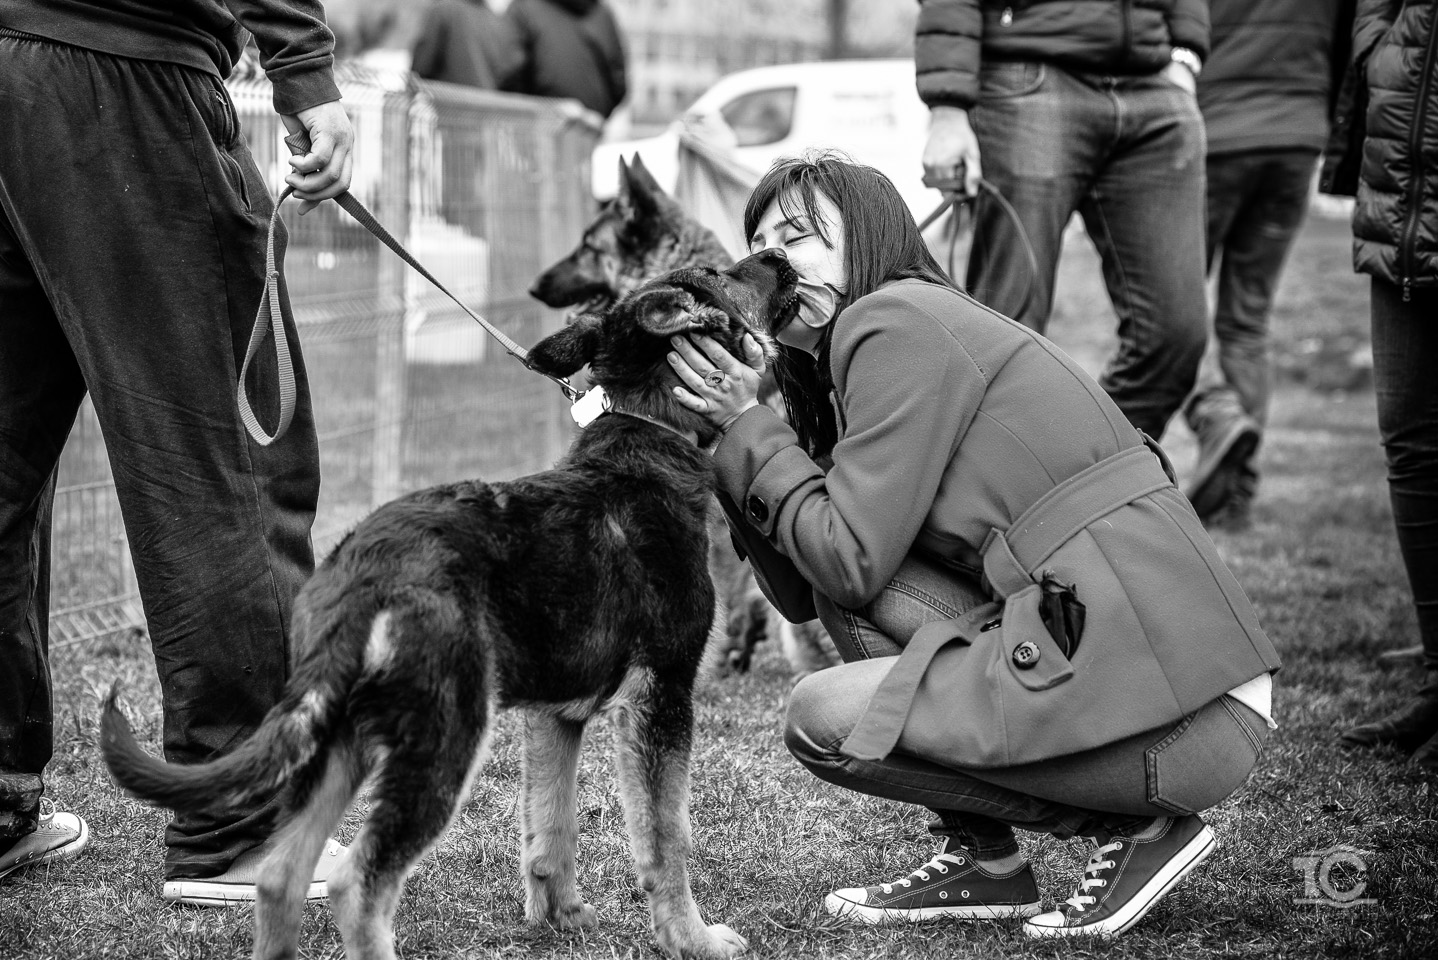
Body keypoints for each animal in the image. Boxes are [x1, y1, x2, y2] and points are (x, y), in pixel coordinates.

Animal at [99, 251, 799, 954]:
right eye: (717, 276)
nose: (780, 257)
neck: (649, 432)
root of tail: (363, 573)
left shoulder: (555, 714)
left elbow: (552, 823)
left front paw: (561, 918)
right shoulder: (660, 696)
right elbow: (667, 834)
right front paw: (693, 939)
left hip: (345, 736)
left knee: (281, 874)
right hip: (446, 732)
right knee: (358, 885)